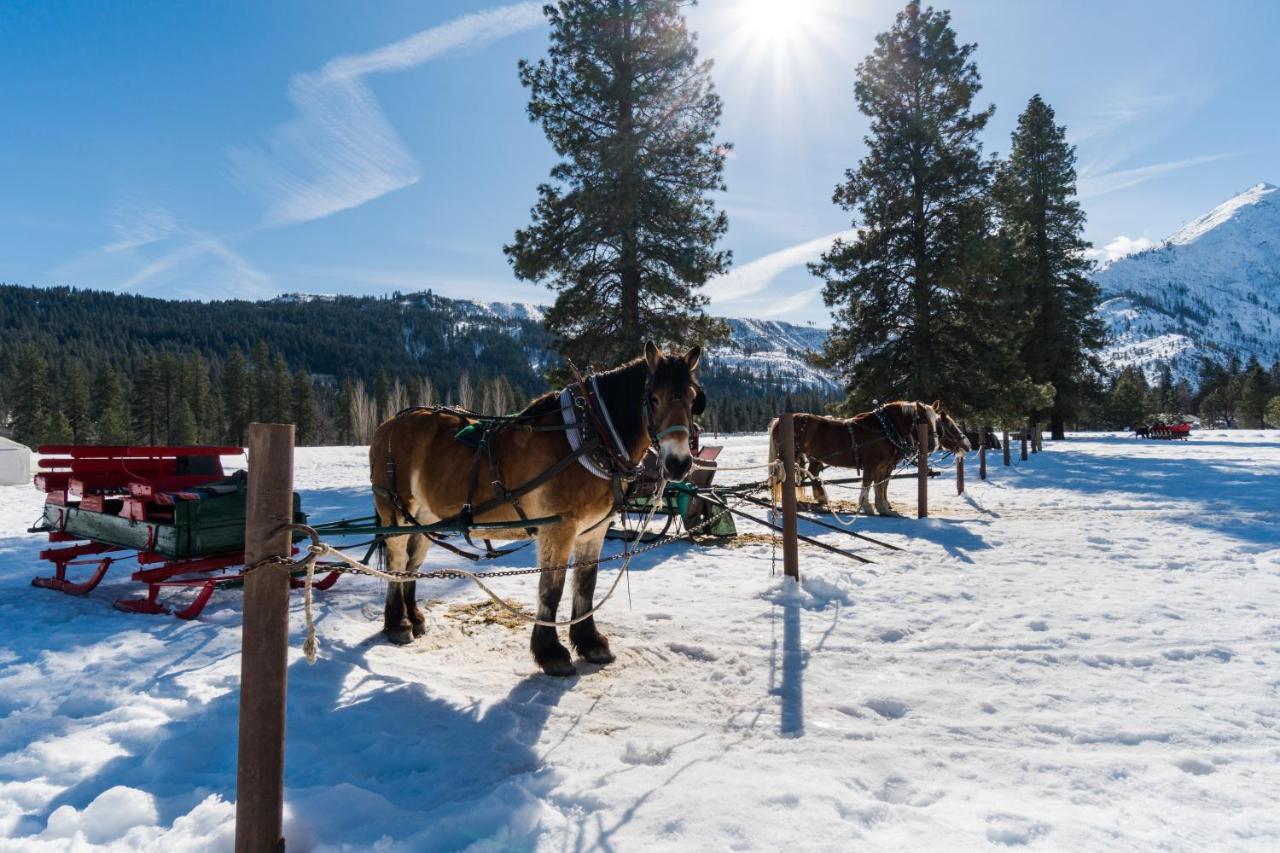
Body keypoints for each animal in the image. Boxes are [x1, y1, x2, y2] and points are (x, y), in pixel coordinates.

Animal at [366, 343, 706, 676]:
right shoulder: (558, 528)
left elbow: (586, 585)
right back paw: (398, 624)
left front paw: (590, 643)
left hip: (426, 518)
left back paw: (414, 617)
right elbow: (551, 589)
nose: (679, 463)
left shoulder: (594, 529)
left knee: (412, 563)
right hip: (395, 512)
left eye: (693, 398)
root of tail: (388, 425)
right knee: (397, 561)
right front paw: (551, 653)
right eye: (654, 398)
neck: (589, 437)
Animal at [768, 399, 967, 512]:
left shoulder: (886, 466)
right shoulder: (871, 464)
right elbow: (868, 483)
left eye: (937, 422)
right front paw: (867, 506)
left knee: (812, 474)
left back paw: (820, 499)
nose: (933, 445)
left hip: (813, 457)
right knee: (788, 479)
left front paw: (884, 506)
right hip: (791, 456)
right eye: (923, 420)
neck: (885, 430)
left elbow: (882, 485)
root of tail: (779, 420)